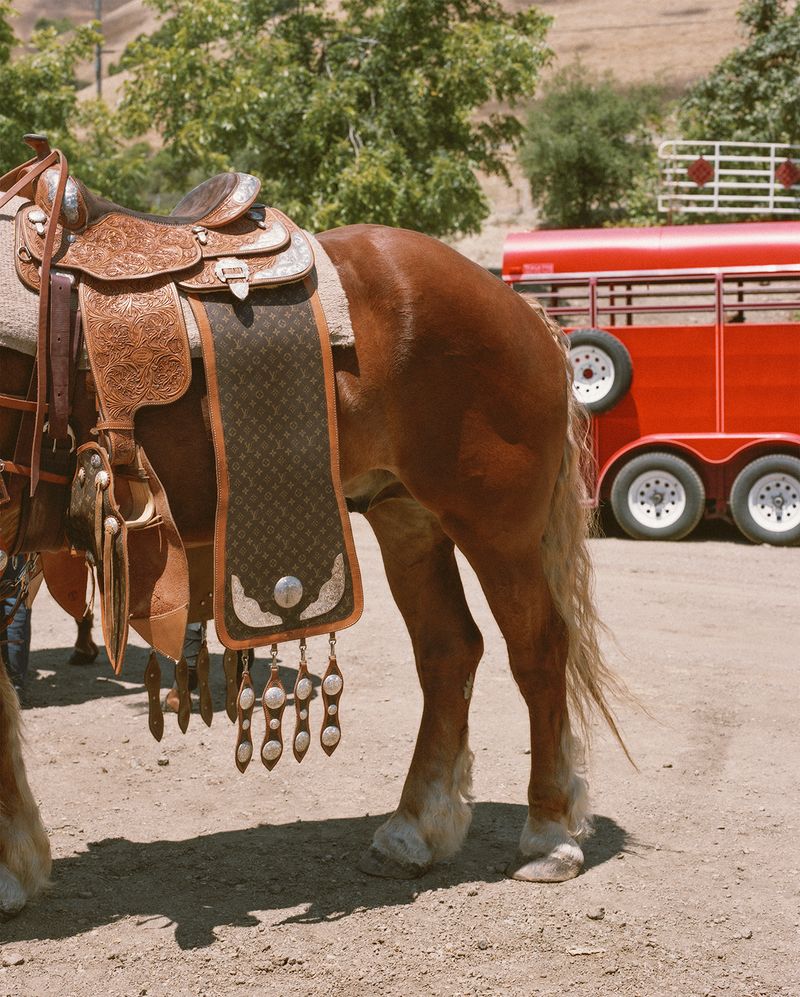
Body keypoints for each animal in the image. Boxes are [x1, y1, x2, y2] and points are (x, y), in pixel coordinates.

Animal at [0, 206, 626, 917]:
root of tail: (527, 313)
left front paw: (10, 871)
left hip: (497, 527)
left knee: (538, 650)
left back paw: (549, 834)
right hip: (407, 518)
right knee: (449, 652)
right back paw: (413, 830)